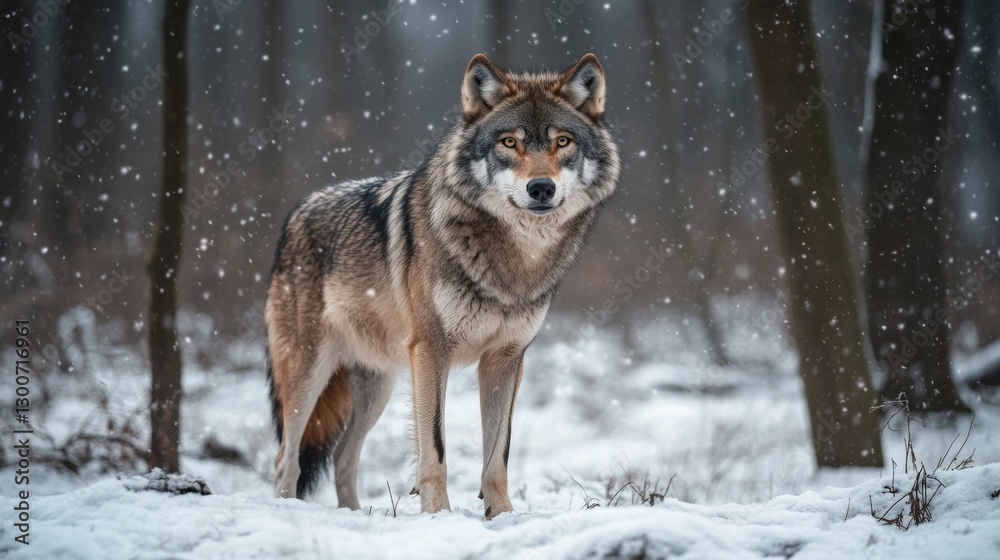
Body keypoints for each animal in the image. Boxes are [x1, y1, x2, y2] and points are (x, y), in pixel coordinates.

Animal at [266, 53, 621, 519]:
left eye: (563, 142)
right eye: (509, 143)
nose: (541, 188)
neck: (512, 262)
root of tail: (295, 214)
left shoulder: (506, 358)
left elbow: (498, 453)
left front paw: (502, 516)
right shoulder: (432, 350)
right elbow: (434, 446)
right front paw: (438, 516)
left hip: (377, 387)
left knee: (343, 456)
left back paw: (355, 514)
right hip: (309, 373)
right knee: (285, 458)